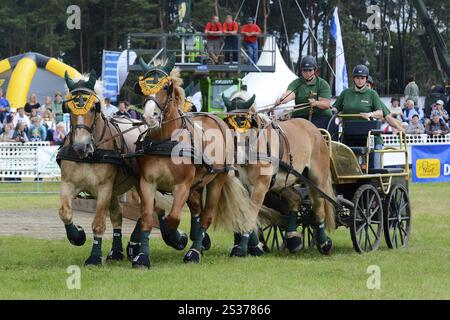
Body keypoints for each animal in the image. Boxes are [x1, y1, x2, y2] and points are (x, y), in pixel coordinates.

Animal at [57, 71, 147, 266]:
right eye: (69, 109)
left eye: (93, 108)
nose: (81, 146)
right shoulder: (68, 183)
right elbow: (65, 213)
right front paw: (77, 235)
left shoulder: (104, 188)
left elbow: (98, 223)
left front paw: (94, 257)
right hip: (116, 190)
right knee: (117, 216)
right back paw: (116, 251)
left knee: (148, 211)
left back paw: (135, 243)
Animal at [130, 57, 256, 268]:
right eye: (143, 88)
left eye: (166, 87)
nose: (149, 116)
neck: (166, 141)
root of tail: (218, 120)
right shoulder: (147, 182)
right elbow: (148, 217)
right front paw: (142, 257)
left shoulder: (182, 185)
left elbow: (173, 218)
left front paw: (177, 238)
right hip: (196, 185)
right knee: (197, 211)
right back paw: (201, 241)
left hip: (216, 180)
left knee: (206, 216)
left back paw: (195, 251)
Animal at [223, 92, 336, 255]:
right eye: (228, 124)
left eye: (245, 123)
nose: (238, 155)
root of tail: (314, 130)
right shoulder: (243, 186)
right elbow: (244, 212)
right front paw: (254, 246)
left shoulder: (260, 186)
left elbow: (250, 214)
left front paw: (242, 248)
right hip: (283, 182)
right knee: (296, 199)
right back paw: (293, 239)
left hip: (317, 180)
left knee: (318, 209)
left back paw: (323, 243)